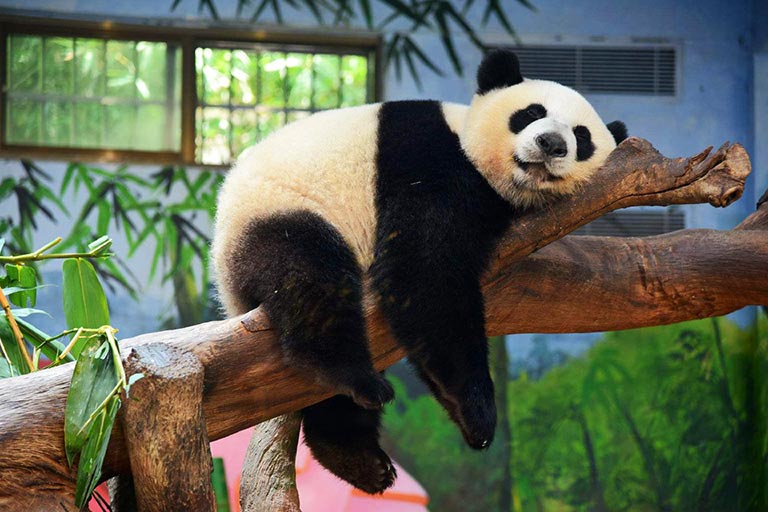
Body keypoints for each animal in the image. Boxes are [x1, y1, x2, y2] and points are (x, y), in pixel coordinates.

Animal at [210, 50, 624, 494]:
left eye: (582, 137)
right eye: (531, 113)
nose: (551, 144)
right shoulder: (424, 159)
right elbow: (425, 272)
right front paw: (478, 411)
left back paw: (355, 455)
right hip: (279, 214)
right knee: (311, 279)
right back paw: (356, 379)